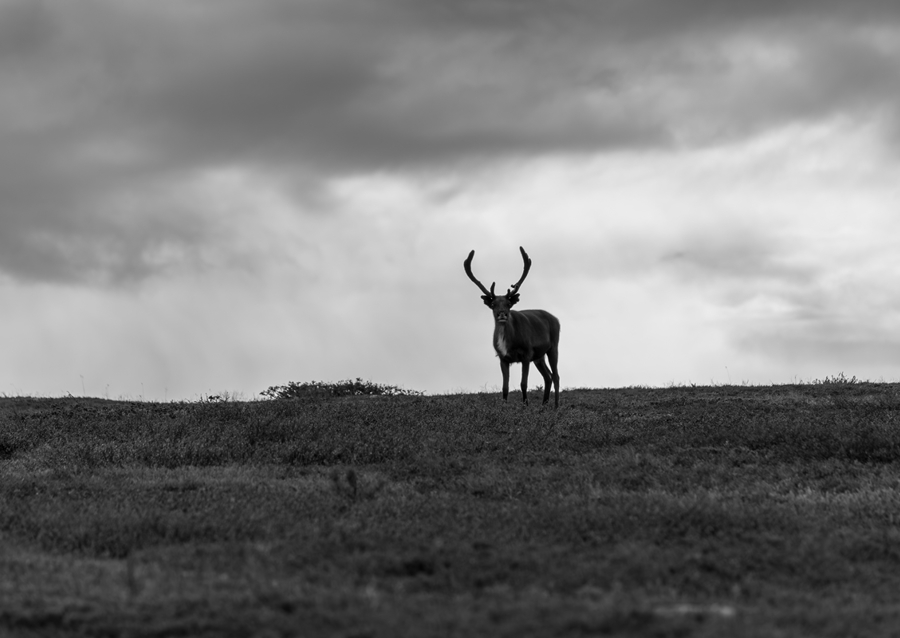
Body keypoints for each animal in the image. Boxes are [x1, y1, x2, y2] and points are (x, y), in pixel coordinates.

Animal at [464, 246, 560, 408]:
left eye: (509, 304)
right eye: (493, 304)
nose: (502, 314)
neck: (509, 342)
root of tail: (556, 319)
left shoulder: (527, 353)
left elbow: (523, 384)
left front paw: (525, 405)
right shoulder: (502, 358)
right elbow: (505, 387)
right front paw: (504, 406)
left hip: (553, 346)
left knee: (556, 376)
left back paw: (556, 406)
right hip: (539, 356)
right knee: (548, 376)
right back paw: (544, 405)